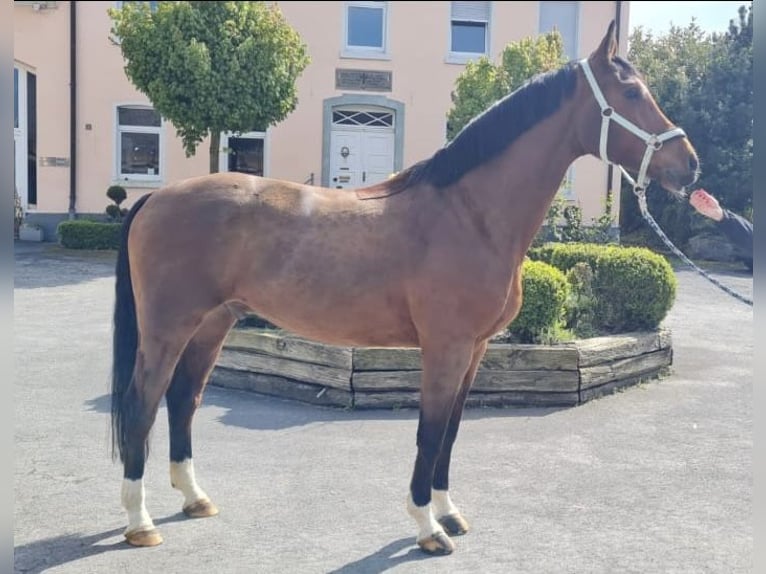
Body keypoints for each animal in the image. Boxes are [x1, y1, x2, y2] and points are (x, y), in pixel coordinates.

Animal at [109, 22, 704, 560]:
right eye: (632, 93)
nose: (690, 166)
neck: (469, 213)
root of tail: (154, 198)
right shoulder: (445, 348)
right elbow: (429, 431)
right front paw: (427, 527)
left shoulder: (475, 351)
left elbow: (452, 432)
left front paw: (449, 512)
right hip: (167, 328)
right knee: (142, 404)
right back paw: (140, 523)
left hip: (214, 323)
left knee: (184, 399)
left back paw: (194, 498)